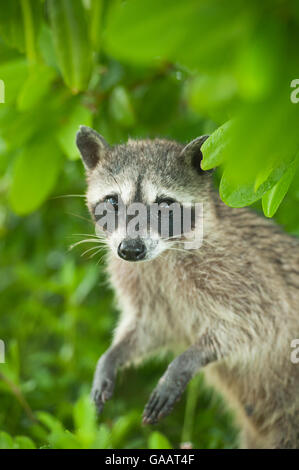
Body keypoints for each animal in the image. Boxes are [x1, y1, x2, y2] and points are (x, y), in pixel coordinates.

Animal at [75, 125, 299, 448]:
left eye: (164, 205)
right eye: (113, 201)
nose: (130, 250)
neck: (162, 255)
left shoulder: (244, 272)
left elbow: (258, 323)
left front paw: (184, 362)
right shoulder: (143, 283)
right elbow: (149, 326)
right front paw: (112, 356)